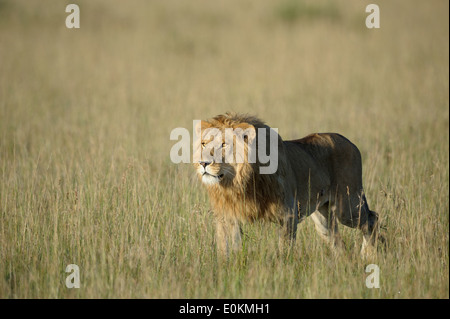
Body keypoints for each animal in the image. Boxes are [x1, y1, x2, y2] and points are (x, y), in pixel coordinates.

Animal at [193, 113, 380, 258]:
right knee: (337, 241)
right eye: (204, 143)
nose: (203, 163)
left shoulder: (287, 215)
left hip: (347, 207)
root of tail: (350, 142)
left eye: (224, 144)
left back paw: (368, 255)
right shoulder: (226, 216)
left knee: (372, 218)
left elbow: (284, 250)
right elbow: (226, 248)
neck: (237, 184)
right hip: (324, 218)